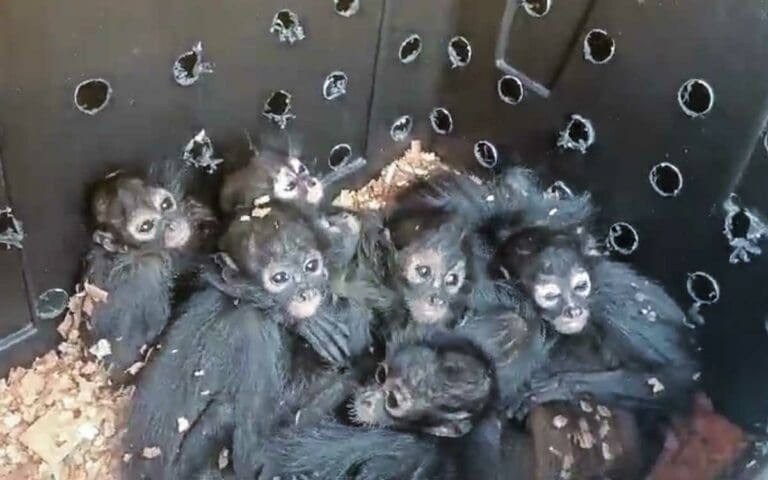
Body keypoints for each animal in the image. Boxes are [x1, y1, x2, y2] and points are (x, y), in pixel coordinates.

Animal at [122, 202, 374, 480]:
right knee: (225, 413)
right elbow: (254, 456)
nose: (305, 293)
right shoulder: (256, 334)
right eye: (280, 278)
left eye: (311, 266)